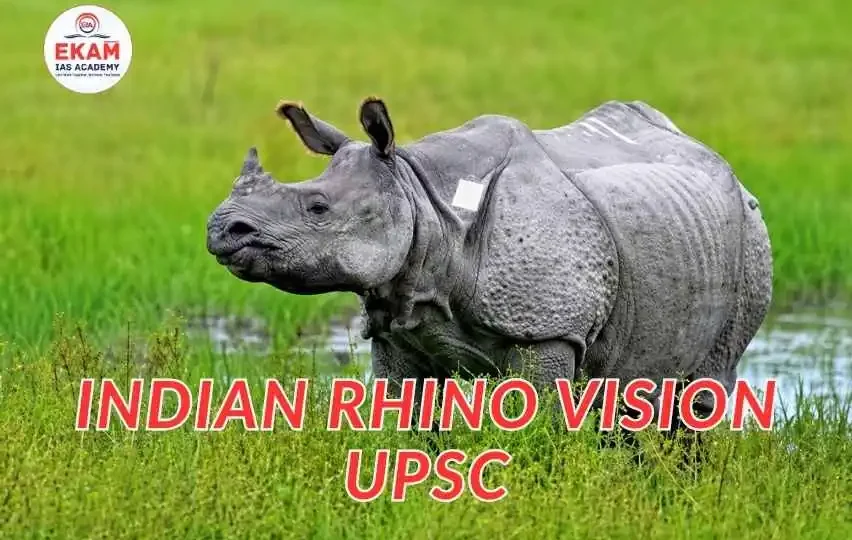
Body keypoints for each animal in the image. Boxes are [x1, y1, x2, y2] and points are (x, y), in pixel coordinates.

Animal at [206, 97, 772, 428]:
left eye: (318, 208)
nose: (221, 229)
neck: (420, 195)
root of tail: (716, 158)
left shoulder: (549, 329)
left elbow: (536, 424)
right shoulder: (397, 326)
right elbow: (404, 420)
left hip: (753, 237)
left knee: (703, 388)